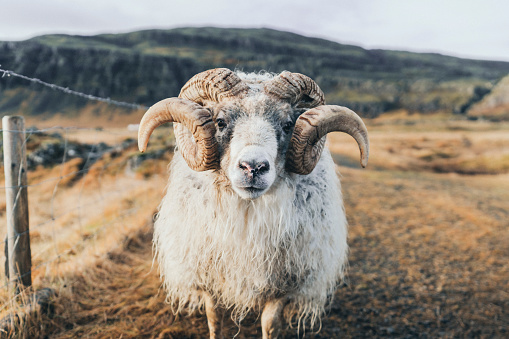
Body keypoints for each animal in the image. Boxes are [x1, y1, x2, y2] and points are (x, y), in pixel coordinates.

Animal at [138, 67, 370, 338]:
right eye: (220, 122)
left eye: (288, 124)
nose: (253, 167)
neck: (247, 216)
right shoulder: (209, 280)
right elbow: (214, 320)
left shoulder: (282, 286)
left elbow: (270, 325)